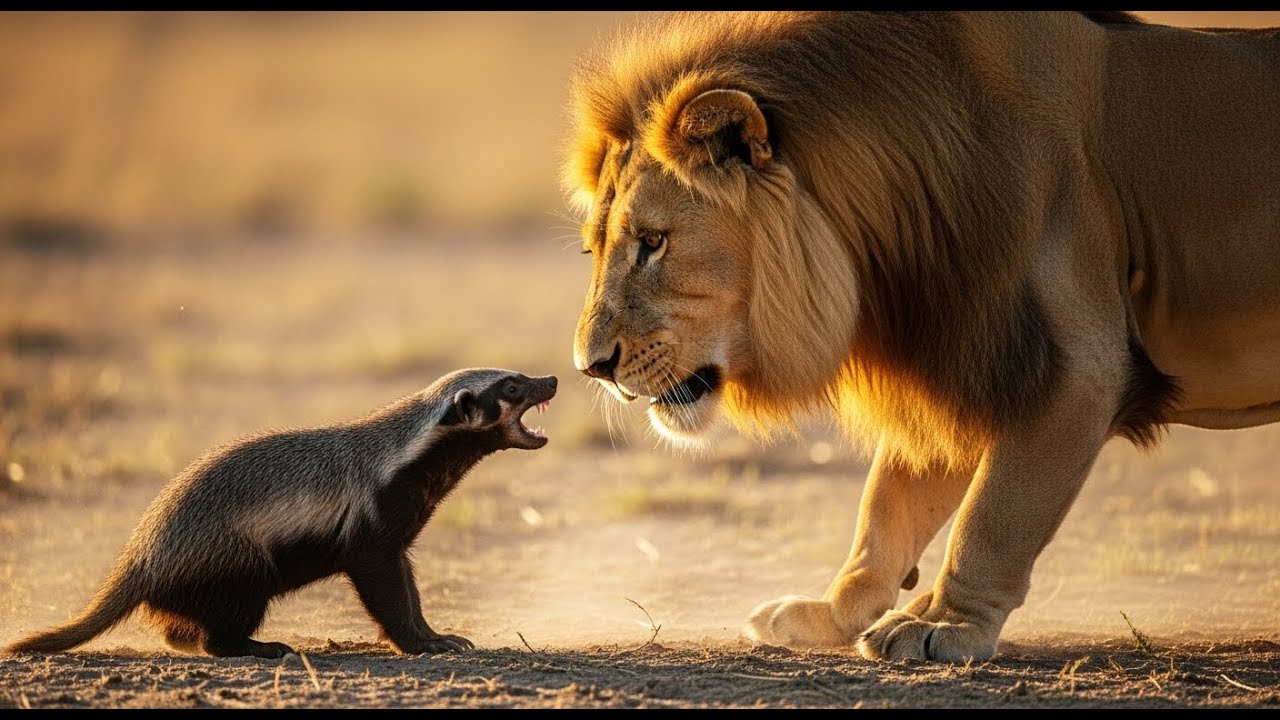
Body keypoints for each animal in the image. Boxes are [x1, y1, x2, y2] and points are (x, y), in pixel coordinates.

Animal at [565, 11, 1280, 661]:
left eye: (652, 242)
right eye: (594, 249)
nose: (591, 367)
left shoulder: (1077, 370)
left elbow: (992, 515)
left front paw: (945, 623)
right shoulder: (959, 354)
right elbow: (887, 505)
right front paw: (833, 614)